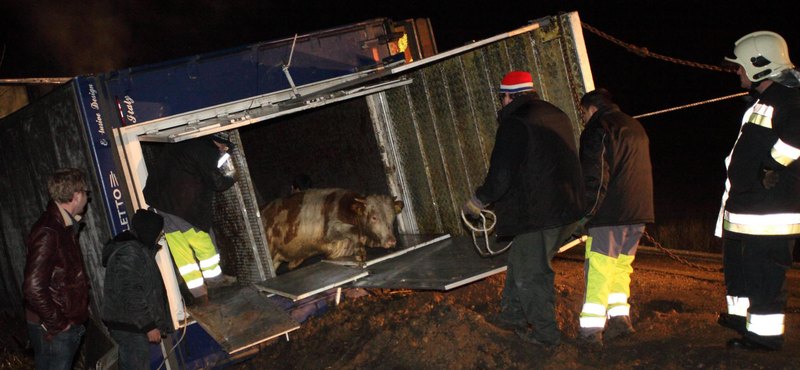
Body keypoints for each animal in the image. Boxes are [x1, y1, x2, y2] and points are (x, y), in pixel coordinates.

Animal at [260, 189, 404, 270]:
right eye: (374, 217)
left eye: (393, 216)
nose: (391, 241)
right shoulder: (330, 230)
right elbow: (352, 230)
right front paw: (360, 252)